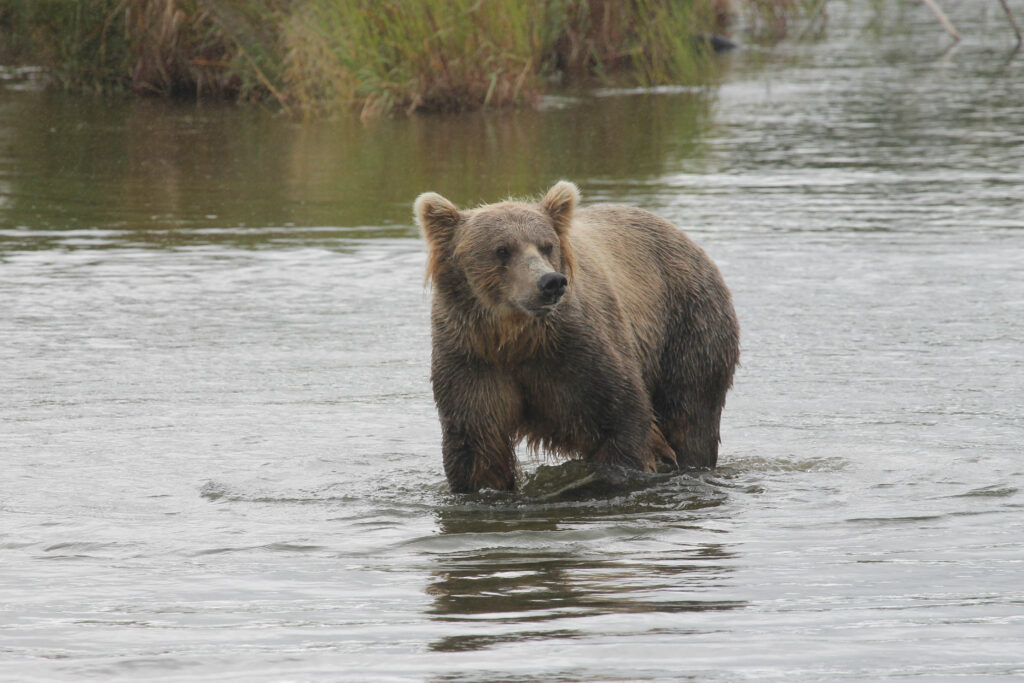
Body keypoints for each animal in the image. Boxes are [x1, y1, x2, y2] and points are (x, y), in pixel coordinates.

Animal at [414, 181, 739, 494]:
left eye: (547, 246)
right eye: (502, 249)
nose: (550, 282)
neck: (515, 340)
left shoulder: (577, 354)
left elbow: (622, 418)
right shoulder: (473, 361)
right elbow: (477, 446)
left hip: (688, 324)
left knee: (690, 414)